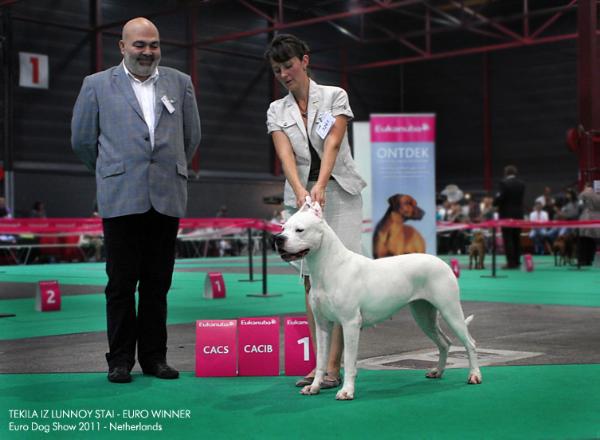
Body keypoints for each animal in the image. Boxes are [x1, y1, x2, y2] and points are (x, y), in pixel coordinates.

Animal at [276, 199, 482, 398]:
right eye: (283, 228)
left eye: (300, 230)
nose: (278, 239)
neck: (328, 266)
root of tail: (442, 262)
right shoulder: (322, 325)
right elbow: (320, 360)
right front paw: (314, 387)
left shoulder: (350, 323)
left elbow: (349, 360)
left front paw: (347, 391)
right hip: (424, 316)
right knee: (444, 343)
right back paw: (437, 371)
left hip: (450, 310)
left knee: (469, 343)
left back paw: (474, 375)